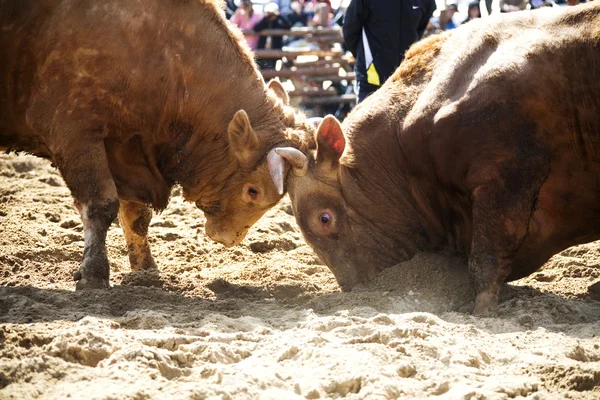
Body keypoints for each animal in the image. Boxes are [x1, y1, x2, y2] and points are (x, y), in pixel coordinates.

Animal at [0, 0, 310, 290]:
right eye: (253, 191)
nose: (230, 237)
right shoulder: (74, 131)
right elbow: (100, 206)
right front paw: (94, 273)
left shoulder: (127, 150)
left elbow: (136, 217)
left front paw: (146, 271)